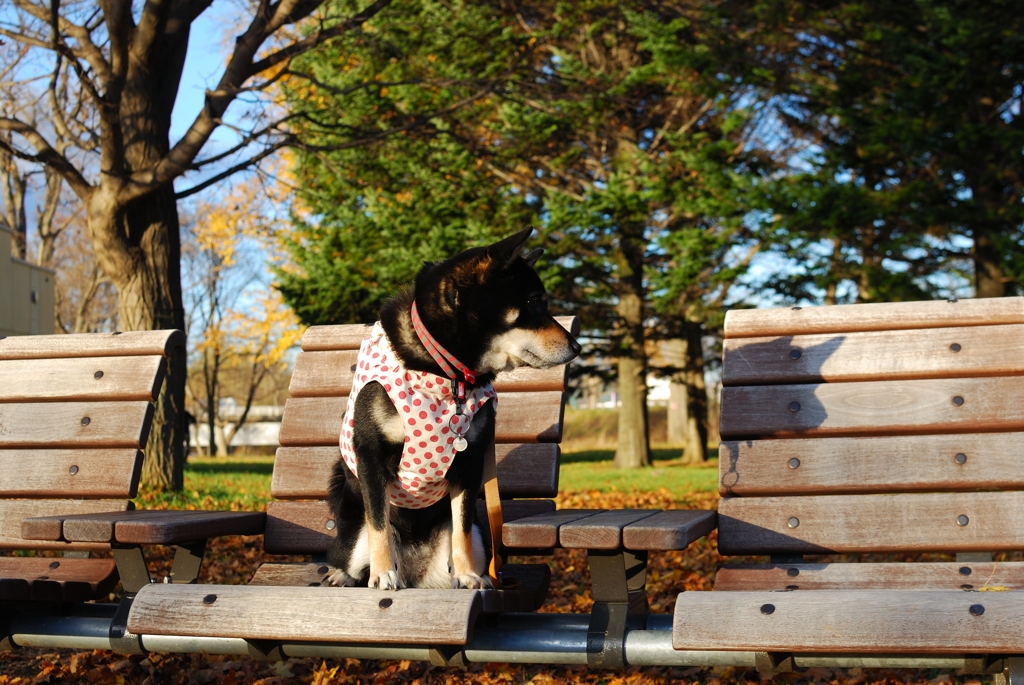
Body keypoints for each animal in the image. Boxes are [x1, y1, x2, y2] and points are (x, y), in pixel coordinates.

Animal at [329, 228, 585, 589]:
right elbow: (379, 523)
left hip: (479, 534)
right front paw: (381, 573)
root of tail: (416, 573)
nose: (578, 346)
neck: (446, 372)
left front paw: (467, 575)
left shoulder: (470, 463)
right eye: (534, 302)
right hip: (353, 532)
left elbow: (461, 528)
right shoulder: (371, 455)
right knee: (350, 556)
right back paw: (346, 574)